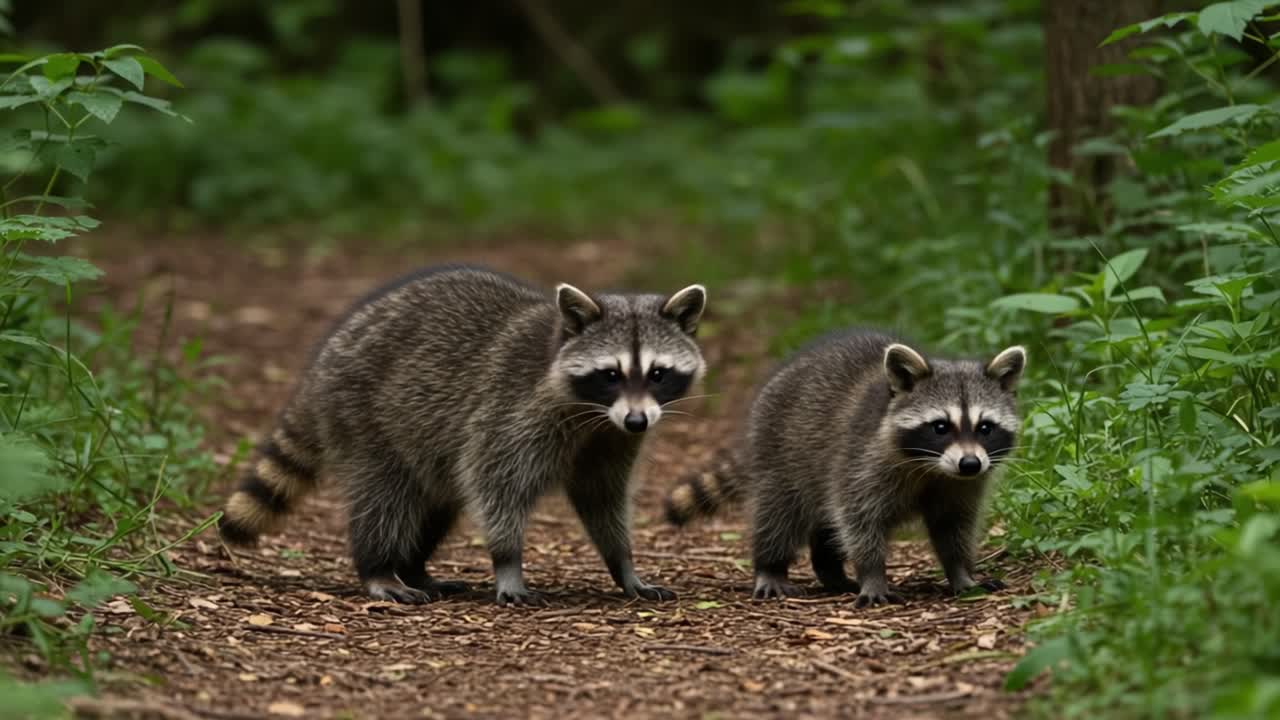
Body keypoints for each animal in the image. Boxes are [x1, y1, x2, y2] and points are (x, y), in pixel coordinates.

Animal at [219, 265, 707, 606]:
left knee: (435, 503)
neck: (594, 415)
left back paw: (414, 567)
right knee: (385, 497)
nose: (638, 421)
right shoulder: (512, 414)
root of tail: (323, 363)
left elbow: (601, 497)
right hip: (364, 415)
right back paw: (379, 567)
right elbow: (496, 485)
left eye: (658, 374)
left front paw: (623, 562)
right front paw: (508, 562)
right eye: (610, 374)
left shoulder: (610, 441)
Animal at [665, 329, 1025, 607]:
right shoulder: (862, 460)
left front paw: (961, 572)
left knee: (825, 526)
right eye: (940, 427)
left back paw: (829, 570)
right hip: (781, 453)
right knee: (779, 514)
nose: (970, 463)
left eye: (985, 428)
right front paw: (873, 574)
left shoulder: (962, 485)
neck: (933, 469)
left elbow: (954, 527)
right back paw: (770, 565)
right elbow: (860, 520)